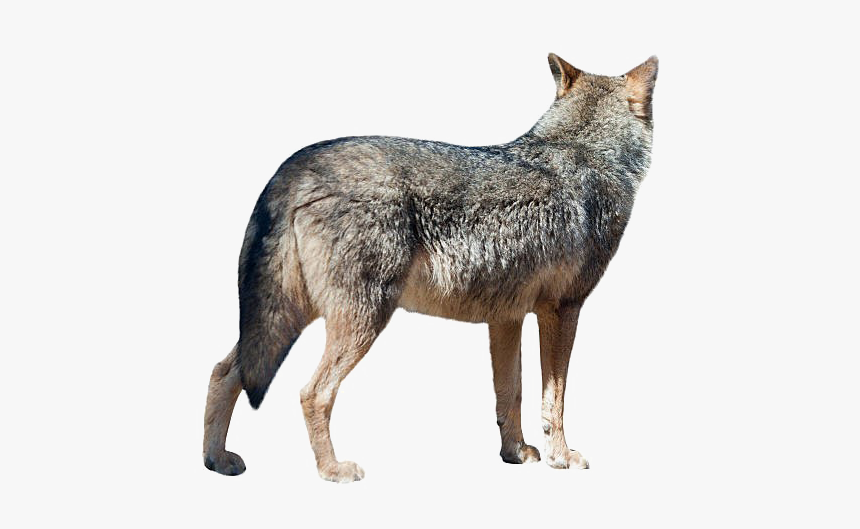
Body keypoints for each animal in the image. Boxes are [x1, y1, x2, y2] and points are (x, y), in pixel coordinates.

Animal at [203, 53, 658, 482]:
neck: (585, 152)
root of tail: (295, 166)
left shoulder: (506, 318)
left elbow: (510, 394)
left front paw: (515, 454)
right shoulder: (562, 310)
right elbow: (554, 399)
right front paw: (561, 458)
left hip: (286, 319)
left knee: (222, 371)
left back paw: (216, 460)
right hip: (360, 321)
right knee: (312, 393)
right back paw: (332, 470)